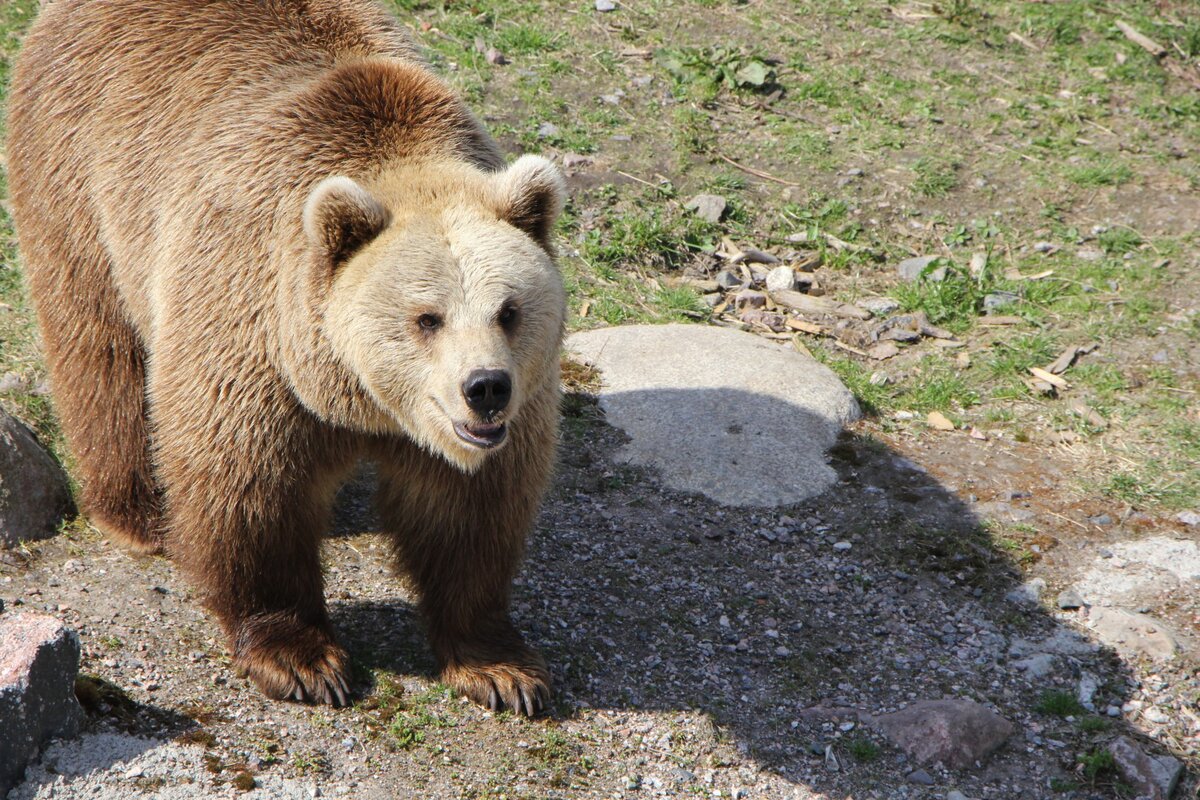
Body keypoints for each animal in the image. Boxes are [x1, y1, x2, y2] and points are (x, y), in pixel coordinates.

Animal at [8, 0, 566, 714]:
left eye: (509, 310)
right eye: (427, 318)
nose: (485, 387)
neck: (360, 399)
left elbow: (471, 512)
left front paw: (501, 668)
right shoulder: (254, 325)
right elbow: (250, 489)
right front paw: (301, 659)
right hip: (79, 177)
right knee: (102, 350)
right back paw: (140, 513)